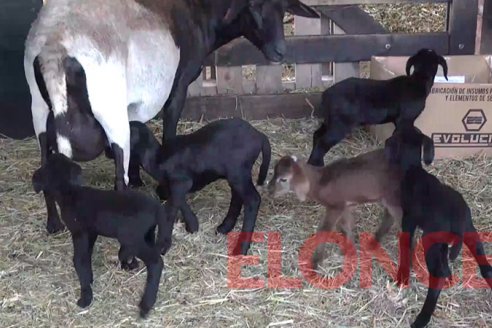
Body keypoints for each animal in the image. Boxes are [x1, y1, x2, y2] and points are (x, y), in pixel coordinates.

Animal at [25, 0, 320, 233]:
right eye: (254, 7)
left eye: (283, 8)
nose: (280, 52)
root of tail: (54, 51)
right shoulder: (179, 85)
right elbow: (168, 128)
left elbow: (139, 128)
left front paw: (140, 178)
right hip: (109, 109)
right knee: (119, 175)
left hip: (39, 109)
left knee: (45, 164)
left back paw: (54, 224)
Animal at [31, 155, 173, 320]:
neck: (71, 192)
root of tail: (157, 207)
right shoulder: (91, 233)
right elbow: (87, 257)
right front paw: (90, 281)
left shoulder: (79, 232)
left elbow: (79, 260)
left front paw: (85, 298)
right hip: (147, 234)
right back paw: (131, 265)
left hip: (132, 238)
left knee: (156, 262)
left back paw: (145, 305)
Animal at [127, 118, 270, 256]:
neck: (159, 158)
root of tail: (259, 135)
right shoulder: (176, 185)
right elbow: (177, 200)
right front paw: (193, 225)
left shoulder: (181, 182)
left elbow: (170, 210)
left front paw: (163, 246)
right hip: (236, 175)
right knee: (237, 196)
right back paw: (225, 227)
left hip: (238, 171)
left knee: (253, 200)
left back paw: (241, 248)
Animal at [308, 48, 450, 167]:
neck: (418, 80)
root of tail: (326, 95)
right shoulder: (405, 121)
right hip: (340, 124)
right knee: (322, 142)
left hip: (330, 121)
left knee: (317, 135)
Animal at [384, 123, 492, 328]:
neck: (413, 170)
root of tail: (457, 216)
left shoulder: (409, 221)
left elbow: (406, 245)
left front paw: (402, 277)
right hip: (469, 230)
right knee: (483, 261)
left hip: (432, 240)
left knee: (438, 275)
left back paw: (422, 318)